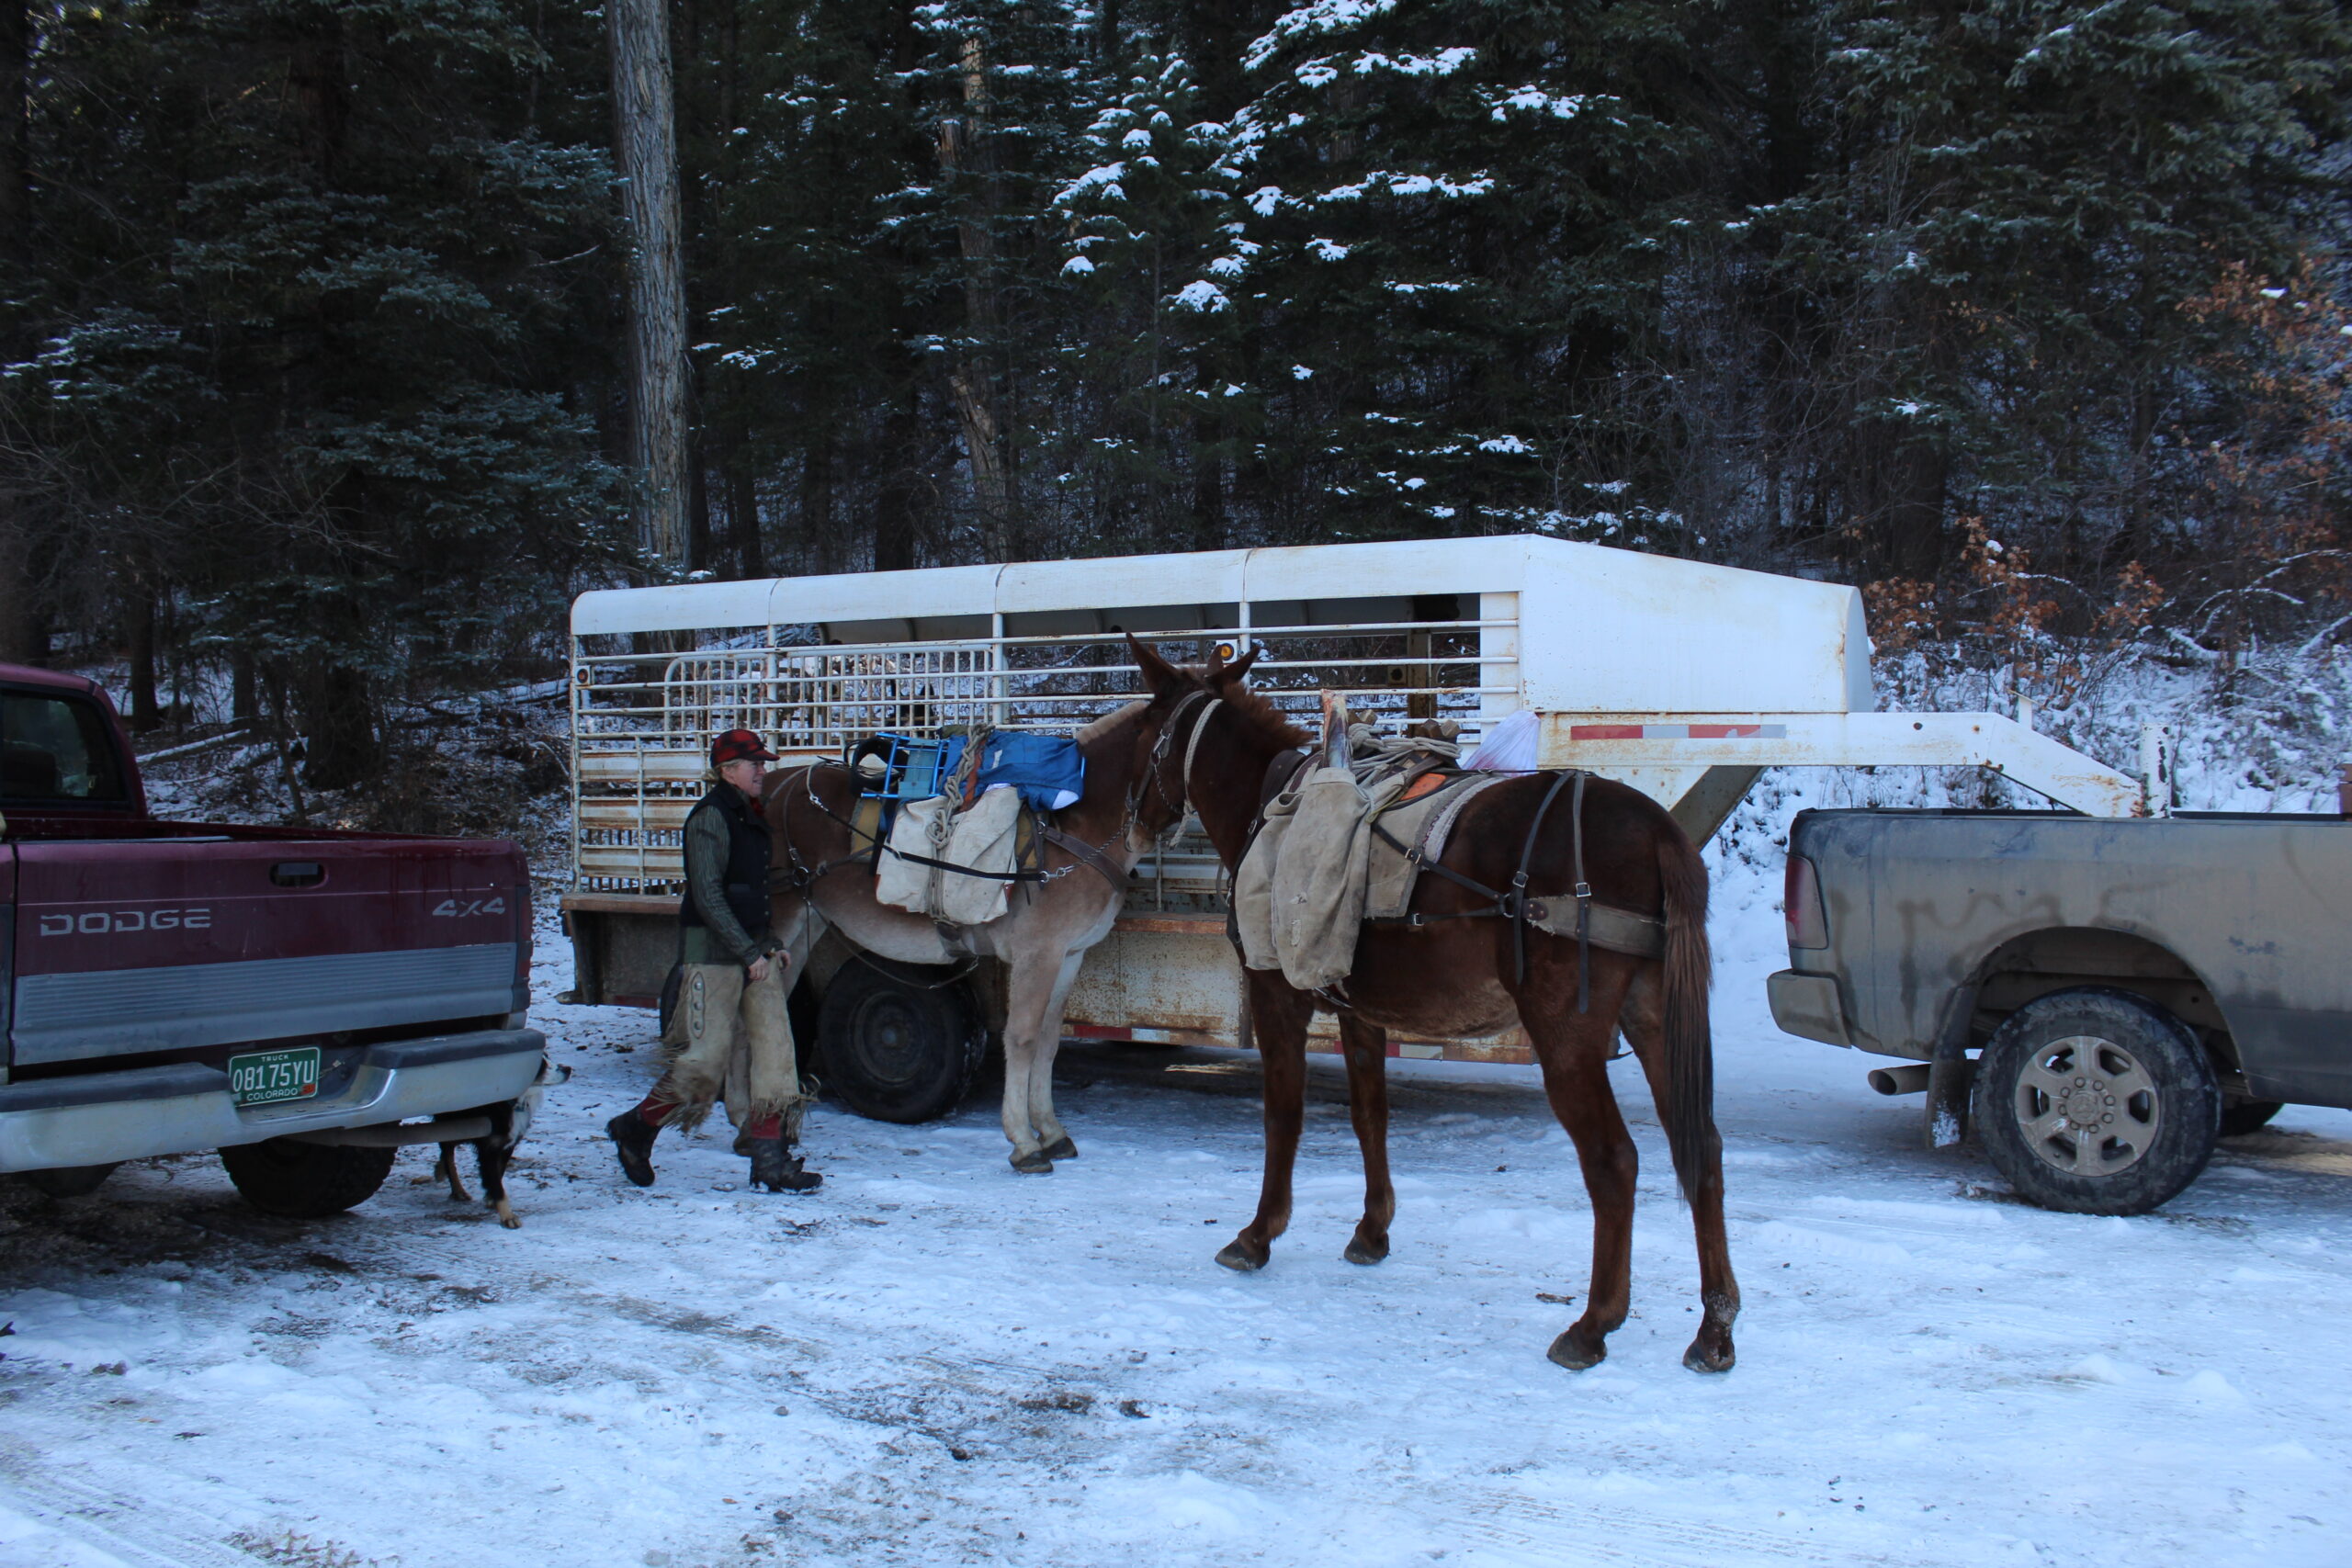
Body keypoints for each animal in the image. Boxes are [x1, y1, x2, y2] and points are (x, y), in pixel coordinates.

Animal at [430, 1062, 566, 1232]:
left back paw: (440, 1171)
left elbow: (498, 1172)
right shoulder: (488, 1148)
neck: (510, 1103)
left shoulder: (507, 1144)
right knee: (448, 1152)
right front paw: (508, 1217)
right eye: (542, 1064)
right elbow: (496, 1181)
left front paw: (490, 1197)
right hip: (453, 1122)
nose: (568, 1069)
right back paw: (458, 1190)